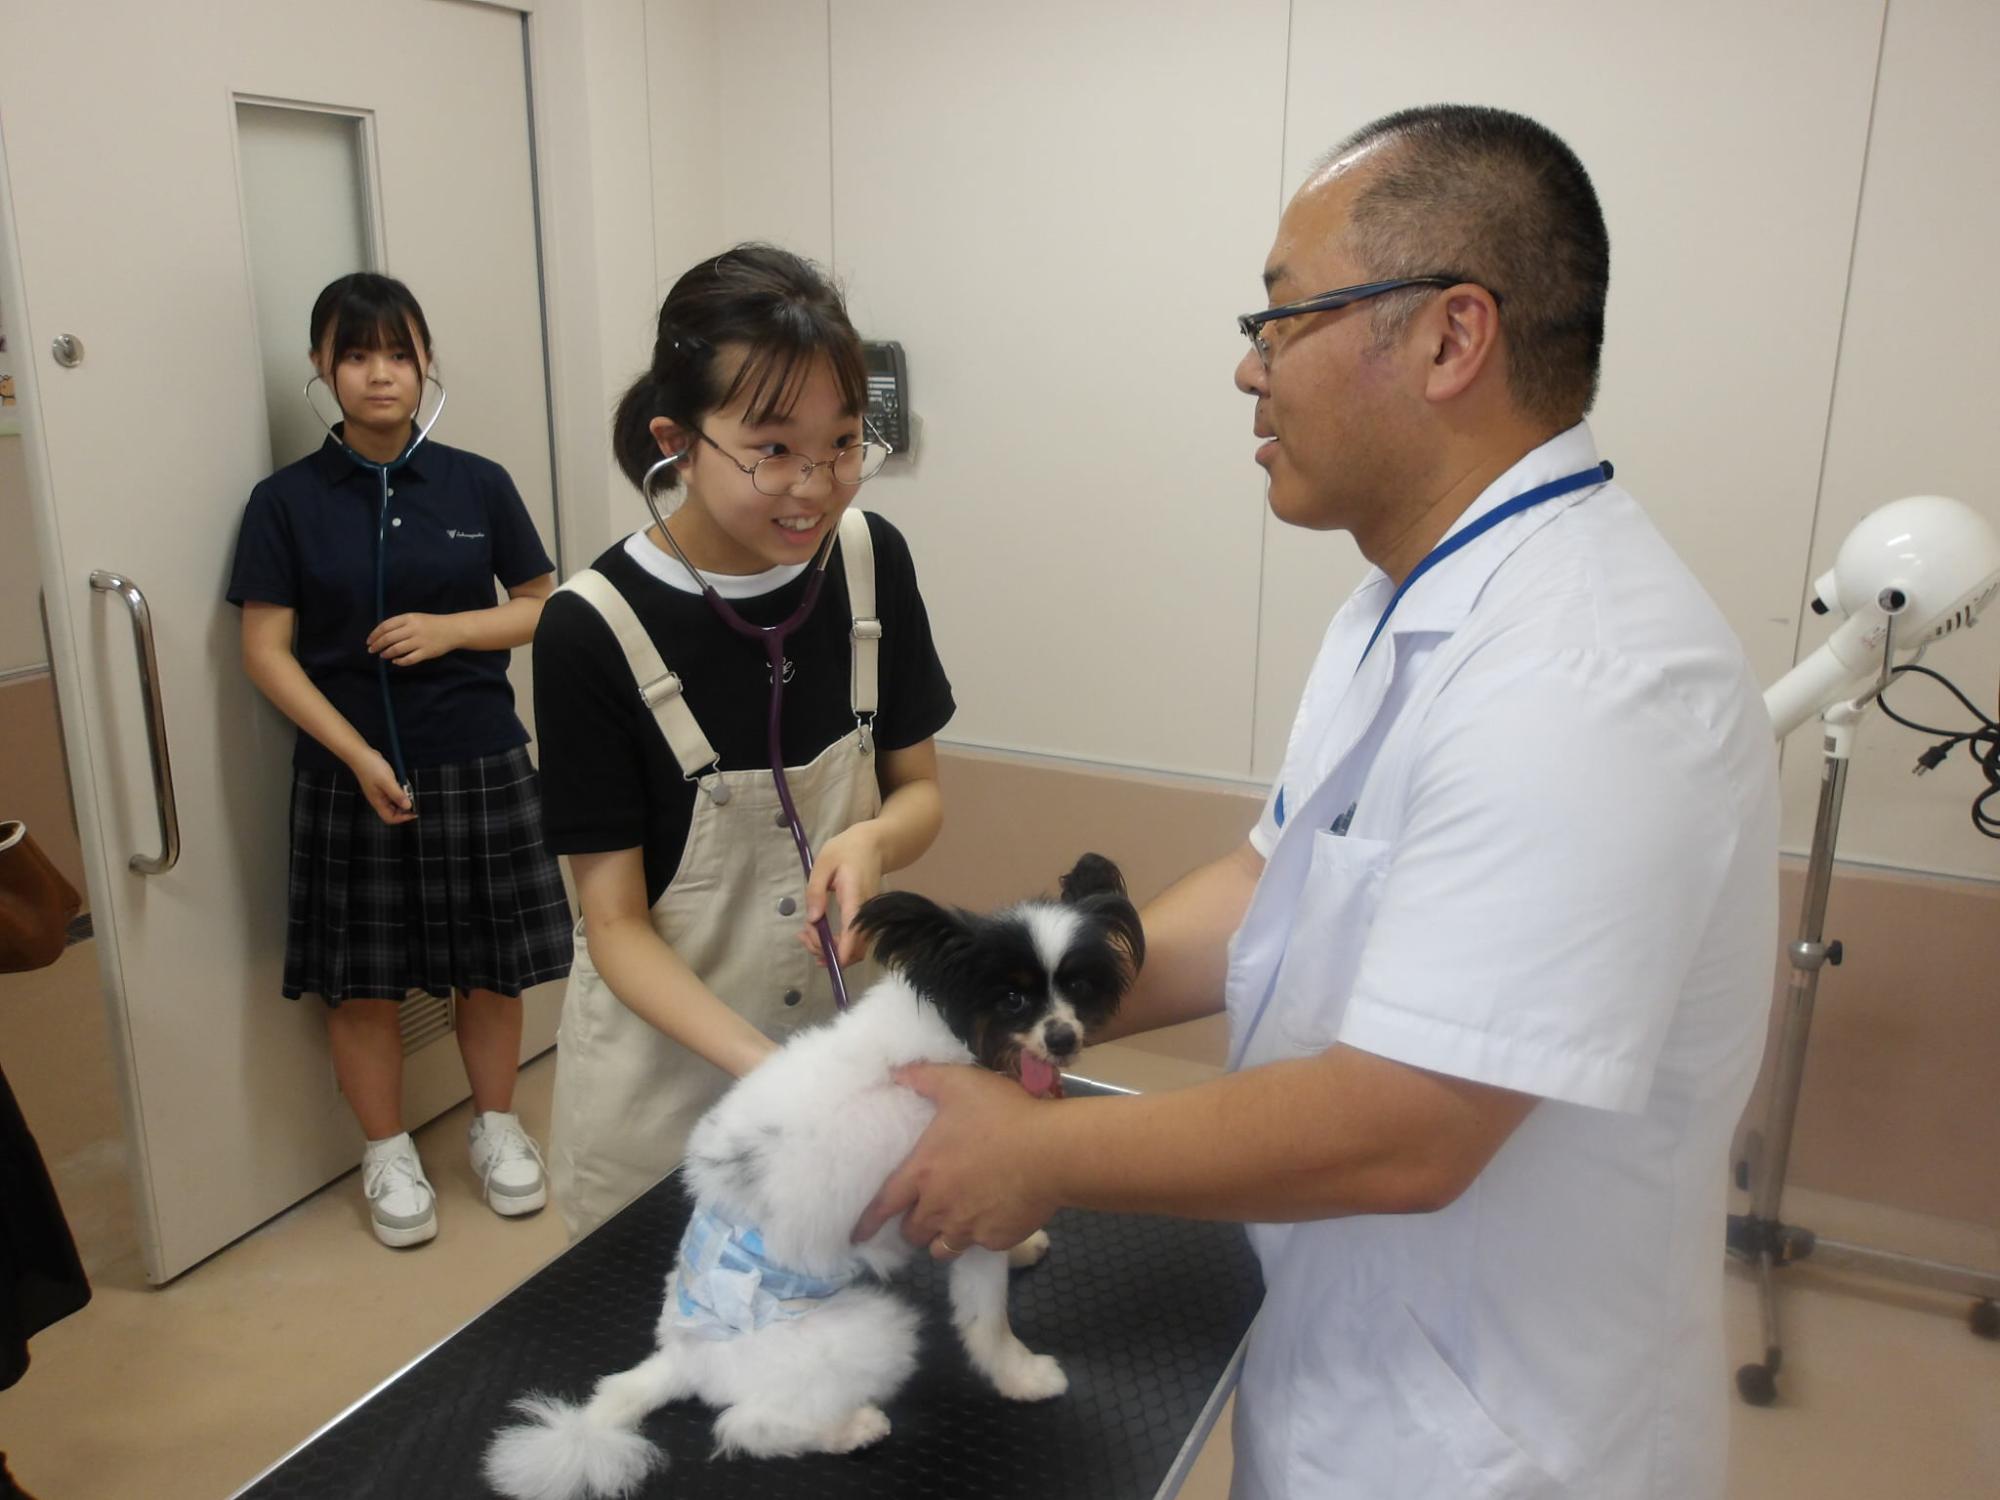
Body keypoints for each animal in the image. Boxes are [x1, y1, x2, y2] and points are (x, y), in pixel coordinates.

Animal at [480, 856, 1144, 1500]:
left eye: (1078, 987)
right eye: (1011, 999)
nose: (1063, 1037)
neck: (956, 1039)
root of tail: (682, 1359)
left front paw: (1024, 1246)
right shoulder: (966, 1198)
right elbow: (988, 1320)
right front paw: (1021, 1375)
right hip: (868, 1333)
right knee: (744, 1425)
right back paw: (852, 1429)